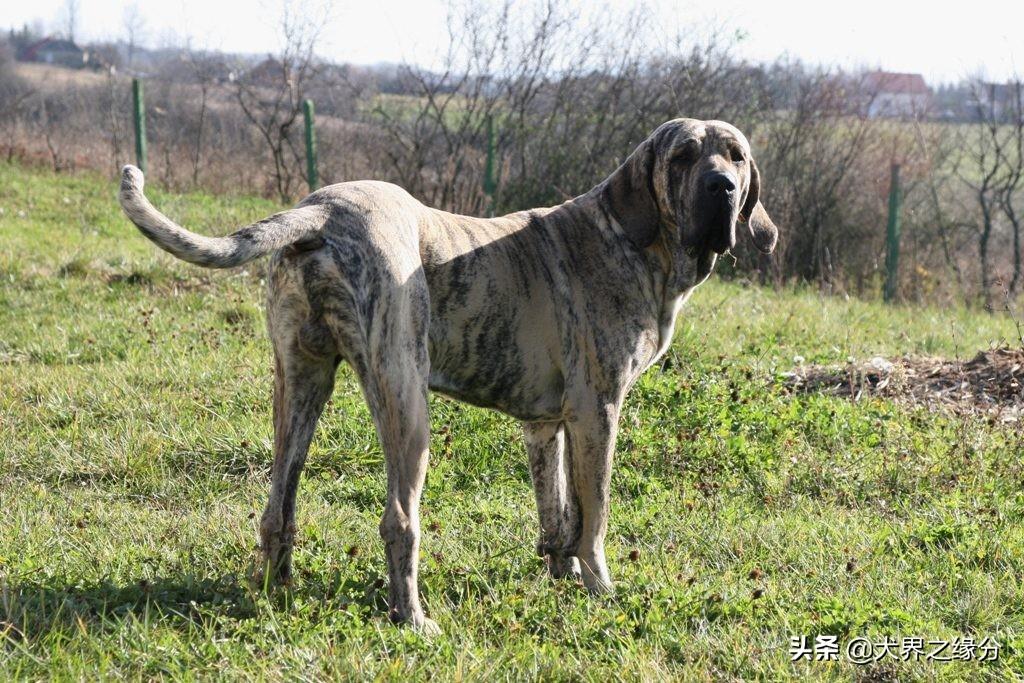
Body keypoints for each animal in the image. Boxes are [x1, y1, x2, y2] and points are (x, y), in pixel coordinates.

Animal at [117, 118, 774, 634]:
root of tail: (321, 208)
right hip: (407, 404)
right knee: (399, 521)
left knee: (278, 507)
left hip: (301, 386)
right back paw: (412, 618)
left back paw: (279, 596)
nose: (722, 186)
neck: (635, 239)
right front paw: (599, 588)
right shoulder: (598, 412)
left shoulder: (547, 427)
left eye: (736, 156)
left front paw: (560, 577)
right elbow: (593, 514)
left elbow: (556, 510)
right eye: (684, 156)